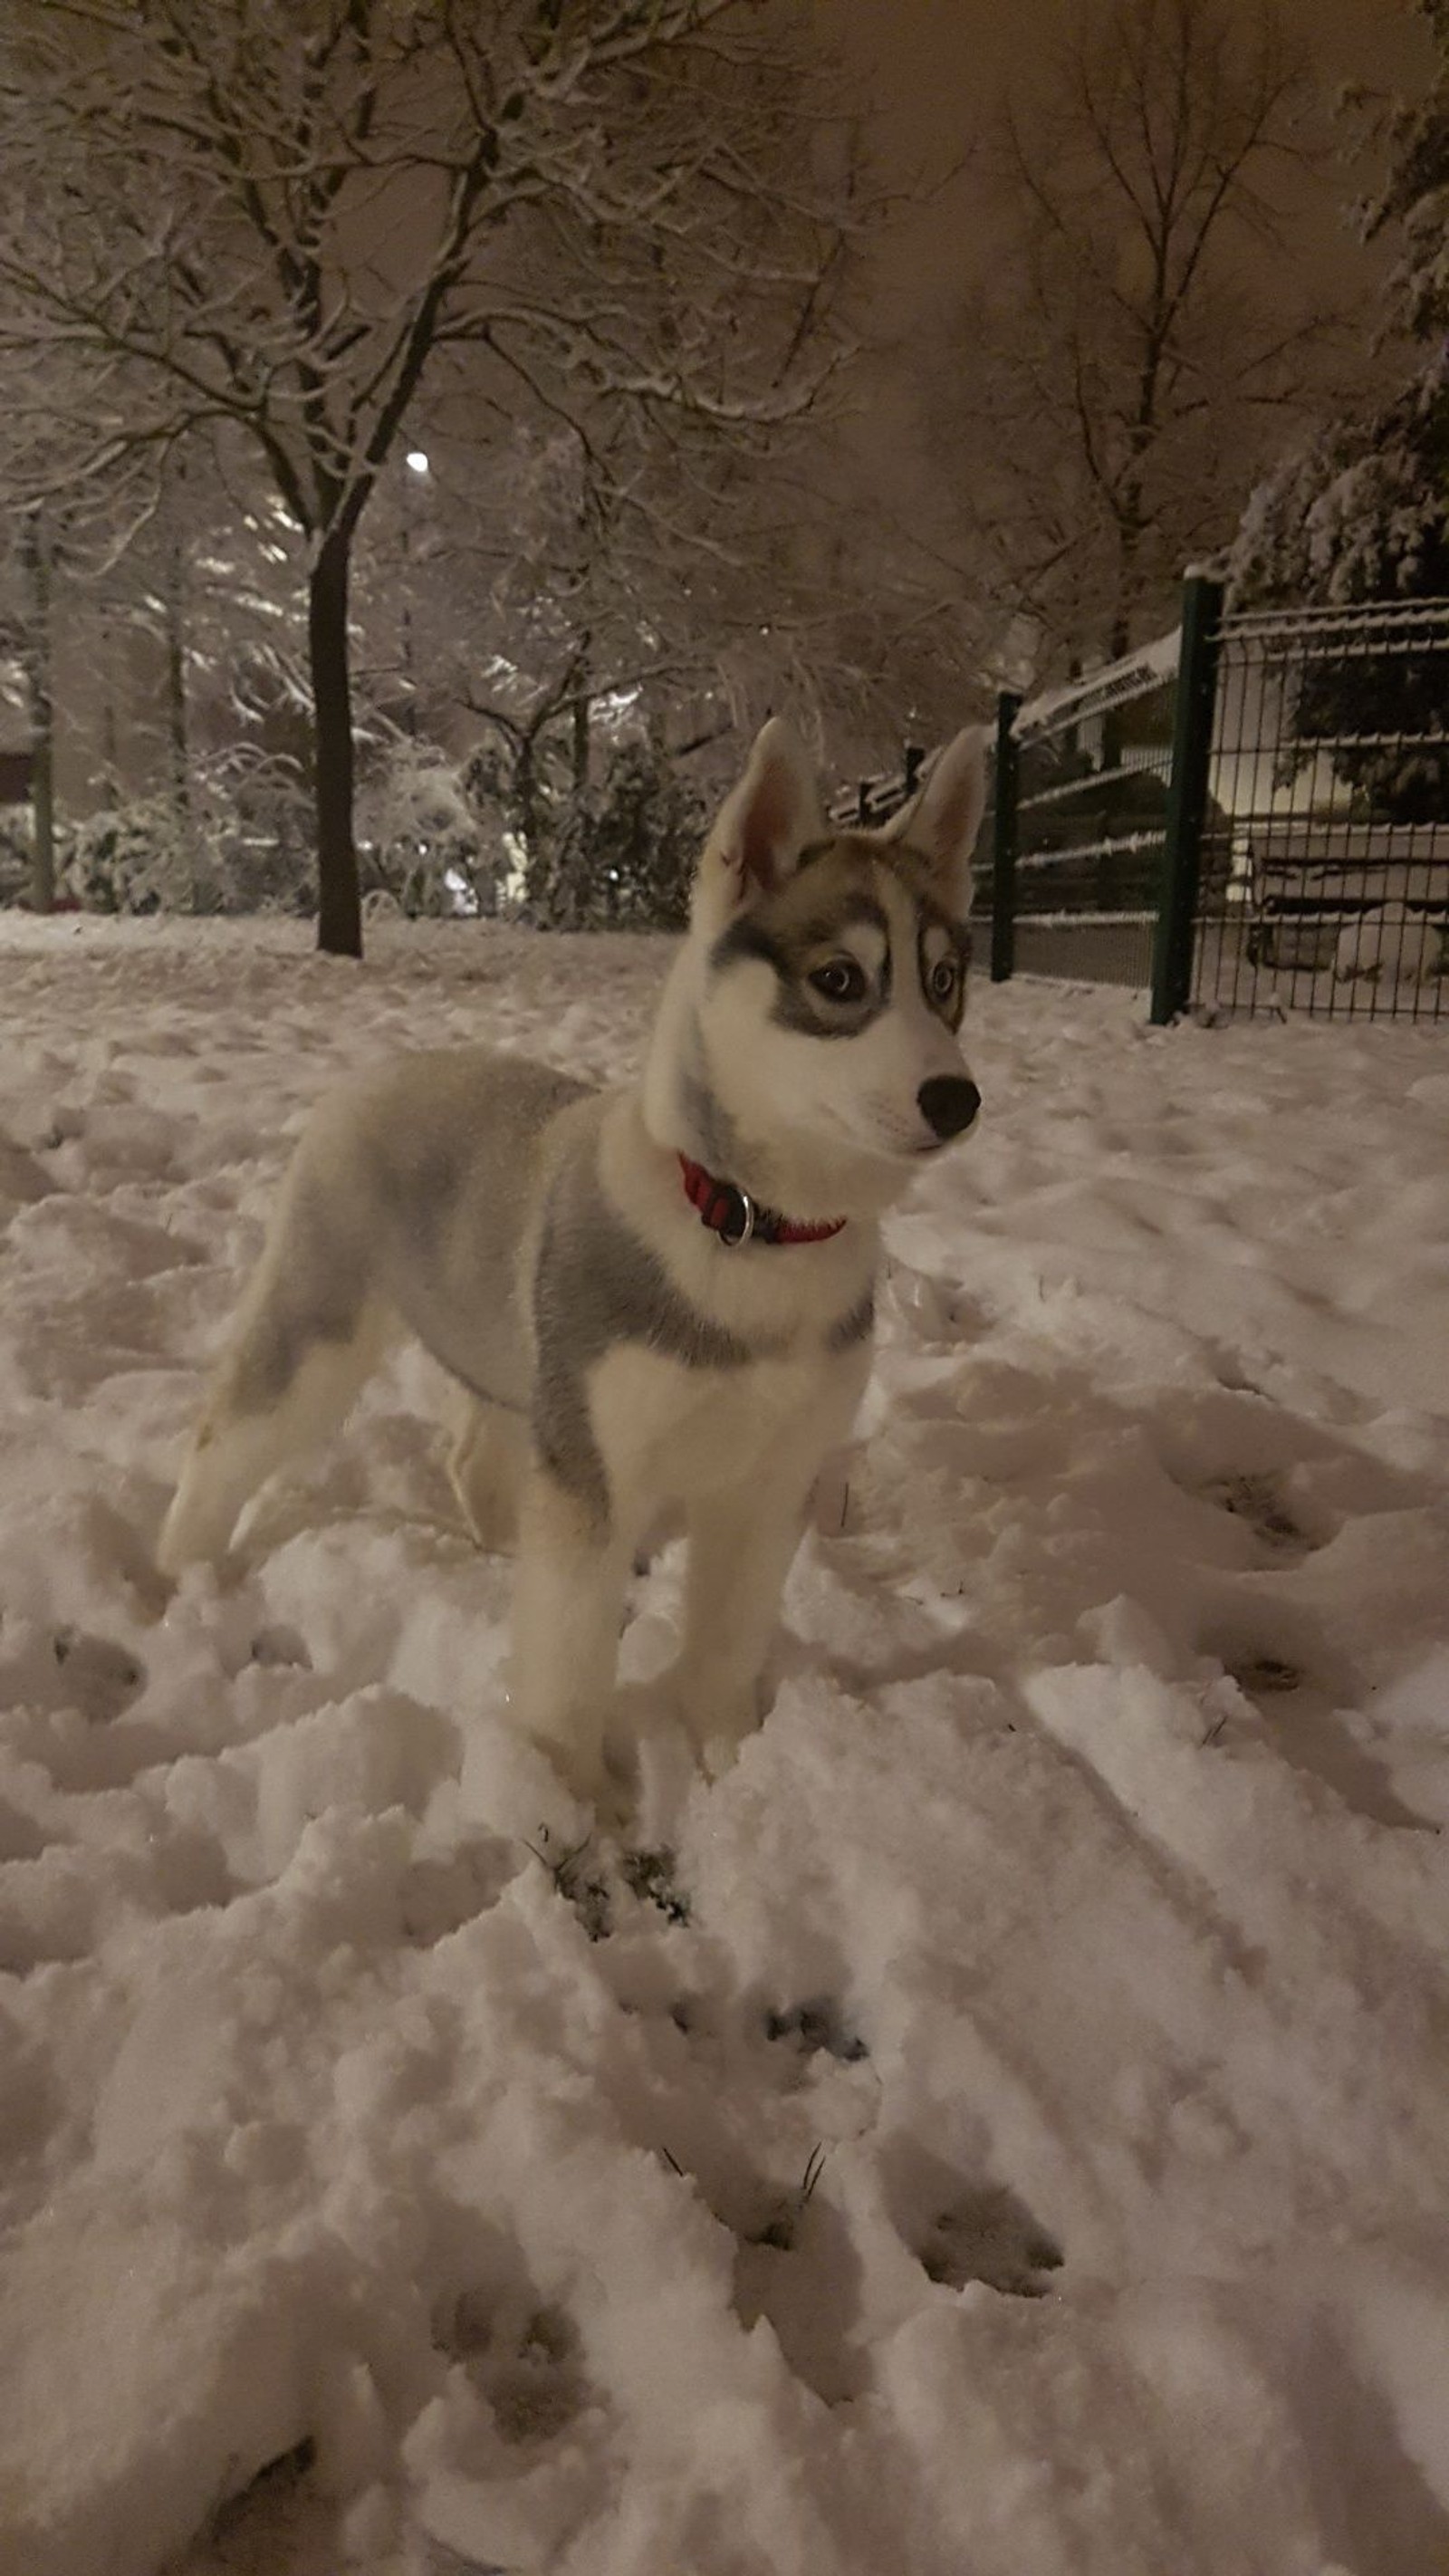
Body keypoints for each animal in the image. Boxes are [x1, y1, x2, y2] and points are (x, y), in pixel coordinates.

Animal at [158, 716, 988, 1802]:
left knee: (472, 1458)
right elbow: (569, 1655)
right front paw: (568, 1795)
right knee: (224, 1438)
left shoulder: (771, 1480)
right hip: (323, 1327)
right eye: (840, 979)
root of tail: (386, 1067)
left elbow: (726, 1638)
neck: (750, 1226)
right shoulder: (595, 1470)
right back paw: (182, 1577)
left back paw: (496, 1551)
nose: (957, 1099)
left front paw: (730, 1759)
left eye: (944, 982)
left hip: (515, 1359)